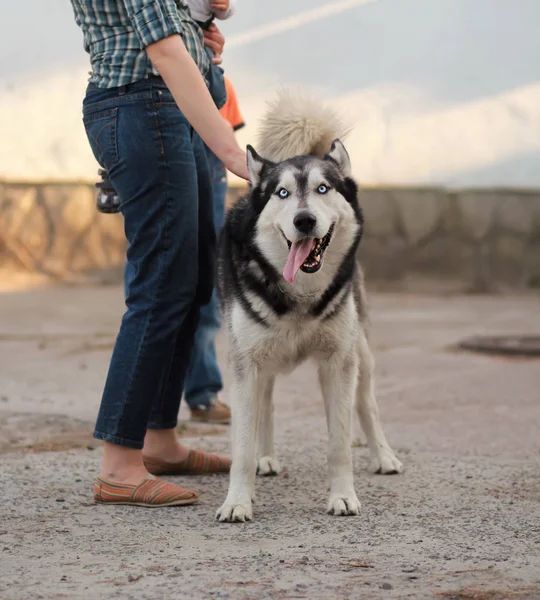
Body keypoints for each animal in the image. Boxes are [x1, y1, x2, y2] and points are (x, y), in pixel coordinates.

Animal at [215, 91, 400, 524]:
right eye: (281, 193)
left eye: (323, 188)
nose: (304, 220)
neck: (299, 295)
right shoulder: (245, 364)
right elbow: (243, 444)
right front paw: (238, 501)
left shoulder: (338, 362)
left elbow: (339, 443)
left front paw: (343, 496)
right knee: (265, 405)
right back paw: (266, 459)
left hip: (361, 352)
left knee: (367, 404)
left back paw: (383, 455)